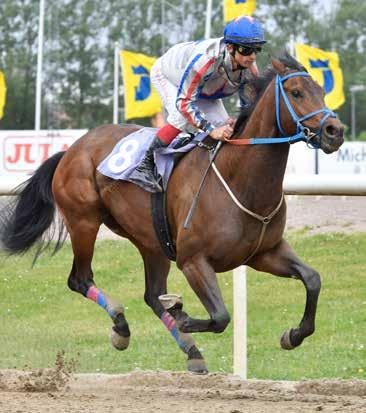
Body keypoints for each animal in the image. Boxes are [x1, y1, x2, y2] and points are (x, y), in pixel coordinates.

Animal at [0, 54, 344, 374]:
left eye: (321, 91)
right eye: (297, 92)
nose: (335, 131)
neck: (239, 179)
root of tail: (71, 149)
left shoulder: (264, 253)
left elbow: (312, 279)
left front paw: (293, 335)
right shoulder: (193, 261)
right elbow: (220, 316)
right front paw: (181, 314)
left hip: (151, 240)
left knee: (152, 295)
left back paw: (191, 352)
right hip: (84, 221)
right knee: (80, 279)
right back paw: (122, 327)